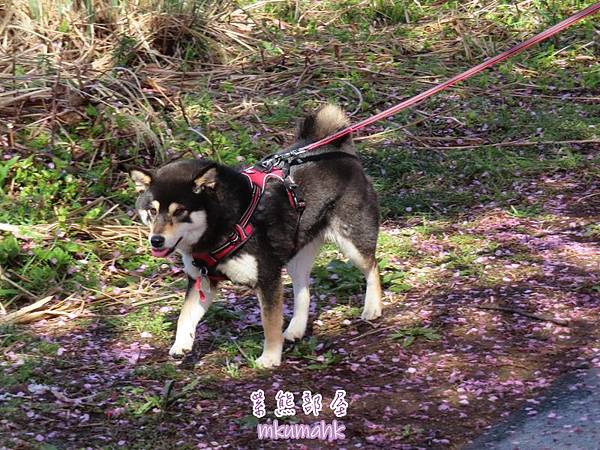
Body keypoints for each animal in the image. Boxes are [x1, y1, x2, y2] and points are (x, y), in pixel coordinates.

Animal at [131, 106, 382, 370]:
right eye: (152, 211)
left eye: (179, 211)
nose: (156, 240)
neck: (224, 224)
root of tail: (337, 149)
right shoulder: (202, 280)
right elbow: (185, 315)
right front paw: (181, 343)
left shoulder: (267, 278)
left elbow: (269, 324)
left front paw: (270, 357)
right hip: (296, 255)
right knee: (303, 290)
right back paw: (295, 329)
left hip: (352, 242)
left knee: (372, 267)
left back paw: (372, 307)